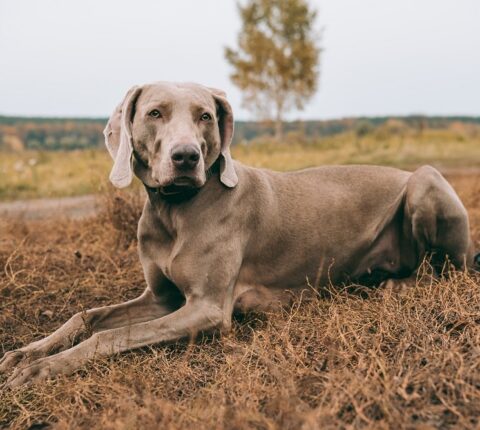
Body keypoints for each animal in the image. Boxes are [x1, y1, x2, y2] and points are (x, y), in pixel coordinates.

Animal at [0, 81, 480, 386]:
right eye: (154, 113)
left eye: (205, 116)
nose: (186, 157)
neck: (175, 212)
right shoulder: (161, 298)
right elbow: (86, 318)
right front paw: (27, 353)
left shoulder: (208, 309)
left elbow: (109, 335)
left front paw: (42, 370)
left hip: (425, 180)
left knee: (446, 270)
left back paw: (393, 285)